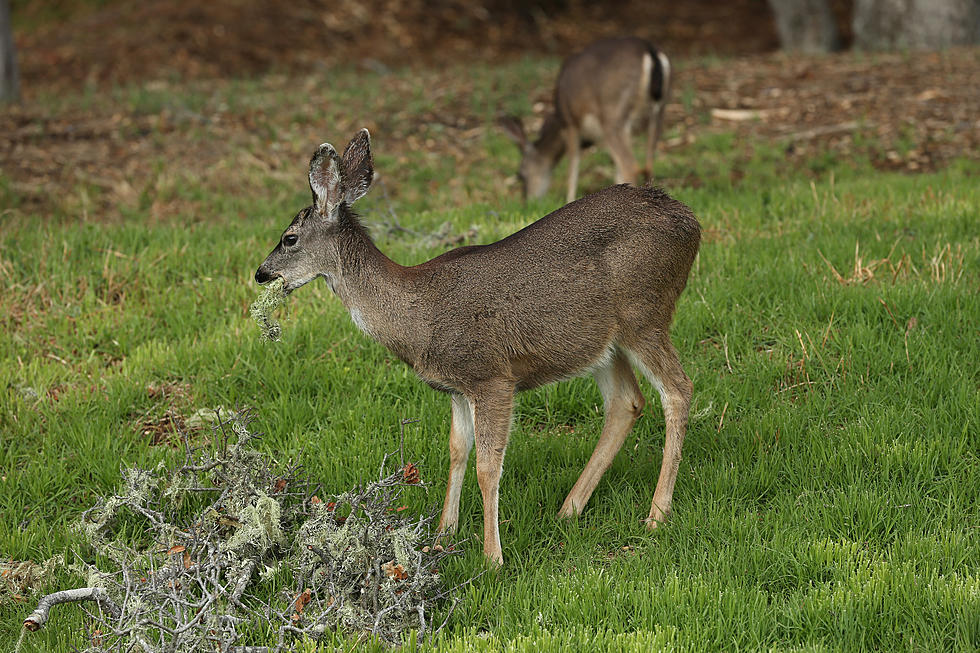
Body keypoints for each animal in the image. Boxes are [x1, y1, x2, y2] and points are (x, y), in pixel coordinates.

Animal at [256, 129, 700, 564]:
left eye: (289, 238)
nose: (261, 273)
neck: (418, 317)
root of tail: (691, 222)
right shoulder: (456, 386)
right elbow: (456, 451)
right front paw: (442, 535)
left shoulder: (491, 376)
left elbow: (488, 467)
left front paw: (492, 557)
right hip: (600, 342)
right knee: (627, 401)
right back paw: (568, 509)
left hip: (645, 312)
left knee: (678, 390)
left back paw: (656, 514)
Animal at [498, 36, 672, 204]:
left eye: (521, 174)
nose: (527, 201)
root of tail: (650, 51)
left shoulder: (571, 123)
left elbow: (572, 167)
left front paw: (569, 200)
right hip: (659, 113)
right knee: (647, 166)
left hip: (612, 116)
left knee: (630, 166)